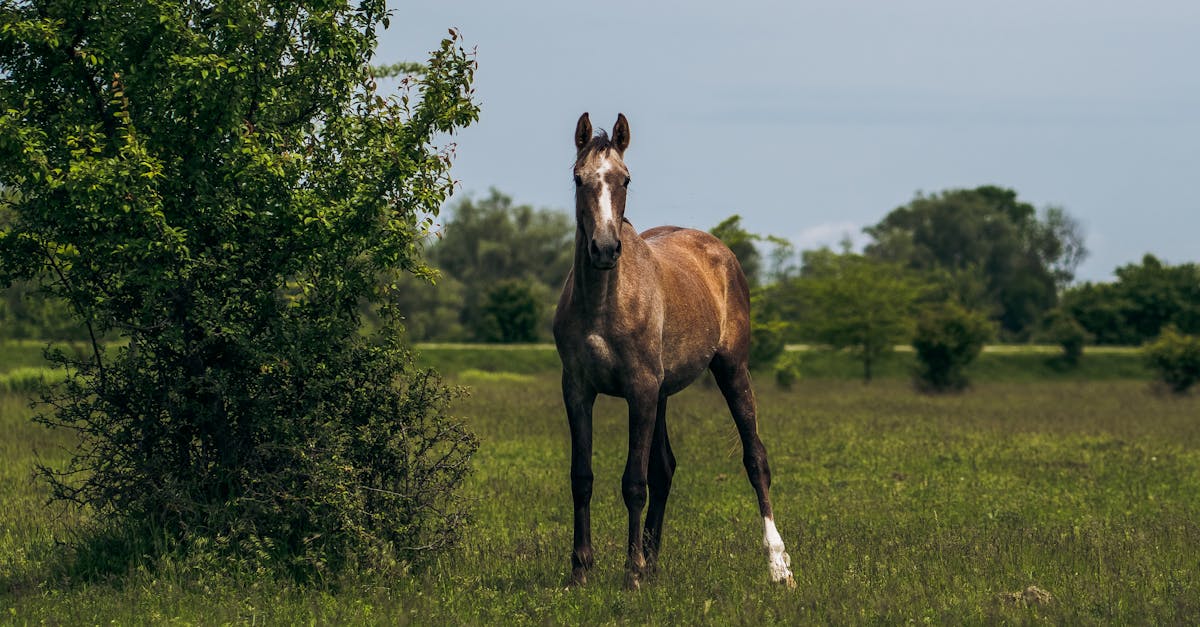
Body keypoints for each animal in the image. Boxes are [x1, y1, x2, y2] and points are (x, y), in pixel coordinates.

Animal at [553, 112, 795, 590]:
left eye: (626, 178)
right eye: (578, 178)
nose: (605, 249)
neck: (605, 302)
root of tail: (718, 251)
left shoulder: (641, 390)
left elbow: (633, 482)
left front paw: (631, 574)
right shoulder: (579, 391)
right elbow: (582, 477)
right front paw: (581, 570)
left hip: (731, 370)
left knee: (755, 458)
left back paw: (778, 565)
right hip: (664, 394)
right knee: (664, 469)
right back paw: (653, 561)